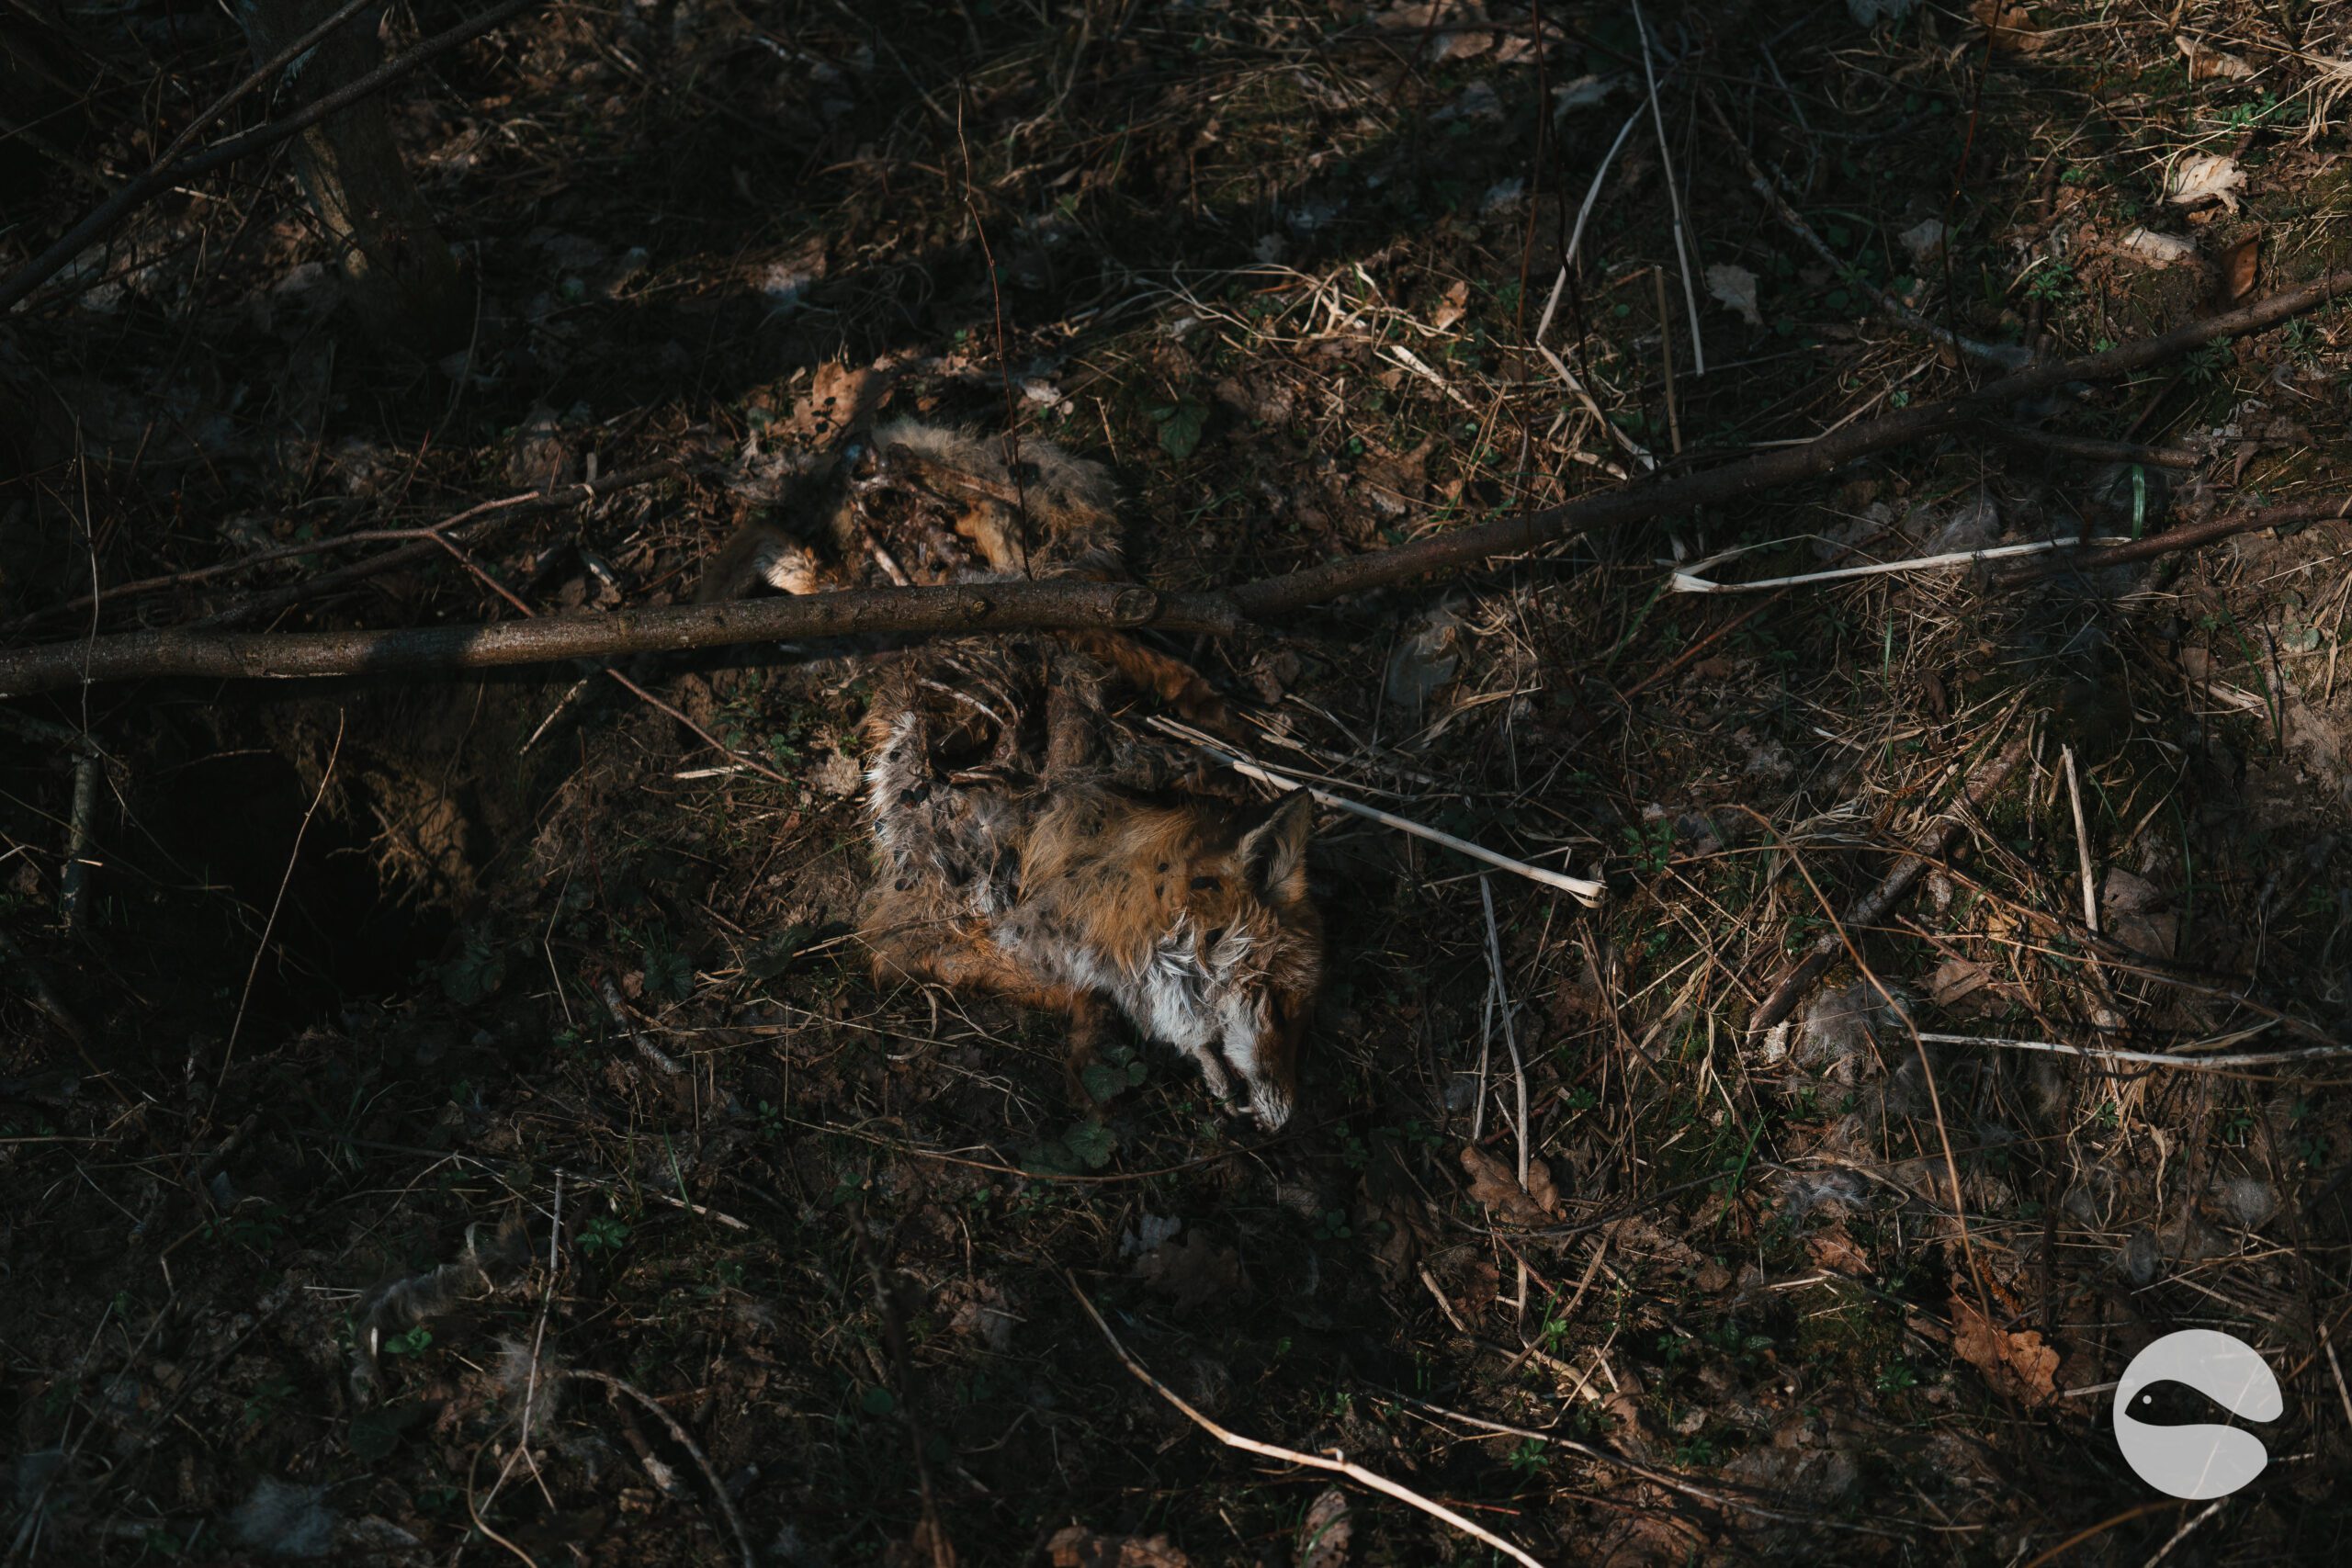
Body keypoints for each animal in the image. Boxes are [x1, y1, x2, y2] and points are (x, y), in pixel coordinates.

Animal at [699, 419, 1325, 1126]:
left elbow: (1080, 994)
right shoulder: (911, 933)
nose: (1289, 1117)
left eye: (1298, 1024)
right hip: (1020, 603)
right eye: (1282, 1011)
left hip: (1016, 603)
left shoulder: (948, 936)